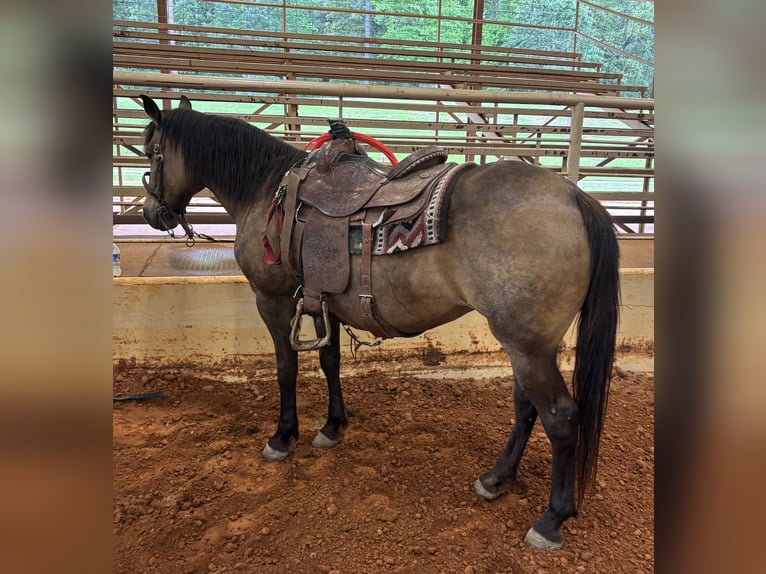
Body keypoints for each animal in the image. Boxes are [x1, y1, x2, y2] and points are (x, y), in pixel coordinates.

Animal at [137, 94, 619, 551]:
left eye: (150, 150)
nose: (151, 214)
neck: (267, 190)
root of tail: (574, 197)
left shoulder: (272, 302)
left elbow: (286, 369)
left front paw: (283, 436)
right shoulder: (322, 301)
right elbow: (329, 362)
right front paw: (332, 427)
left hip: (527, 347)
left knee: (559, 416)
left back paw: (551, 520)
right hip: (530, 346)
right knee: (526, 407)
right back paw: (496, 479)